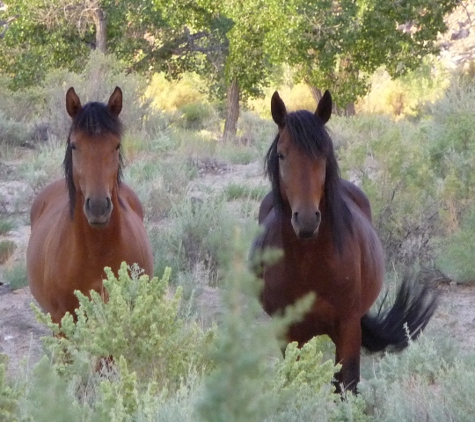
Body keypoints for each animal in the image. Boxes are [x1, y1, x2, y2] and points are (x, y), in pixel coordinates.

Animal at [253, 90, 438, 394]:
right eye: (281, 155)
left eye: (324, 154)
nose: (306, 220)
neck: (308, 263)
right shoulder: (289, 333)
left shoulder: (348, 327)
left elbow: (347, 385)